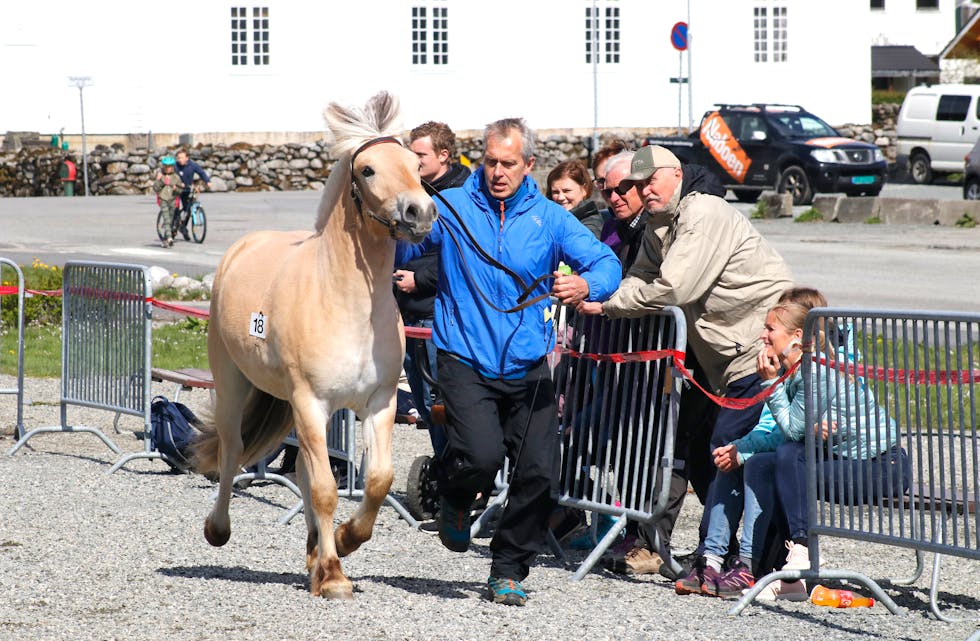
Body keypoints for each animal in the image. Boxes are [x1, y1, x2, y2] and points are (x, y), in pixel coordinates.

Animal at [191, 92, 436, 596]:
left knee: (301, 470)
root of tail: (241, 248)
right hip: (235, 385)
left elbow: (376, 480)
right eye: (368, 170)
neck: (346, 302)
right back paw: (218, 530)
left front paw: (341, 545)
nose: (419, 213)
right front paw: (336, 575)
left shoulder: (379, 402)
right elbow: (324, 489)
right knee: (231, 450)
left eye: (414, 165)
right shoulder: (310, 401)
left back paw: (314, 557)